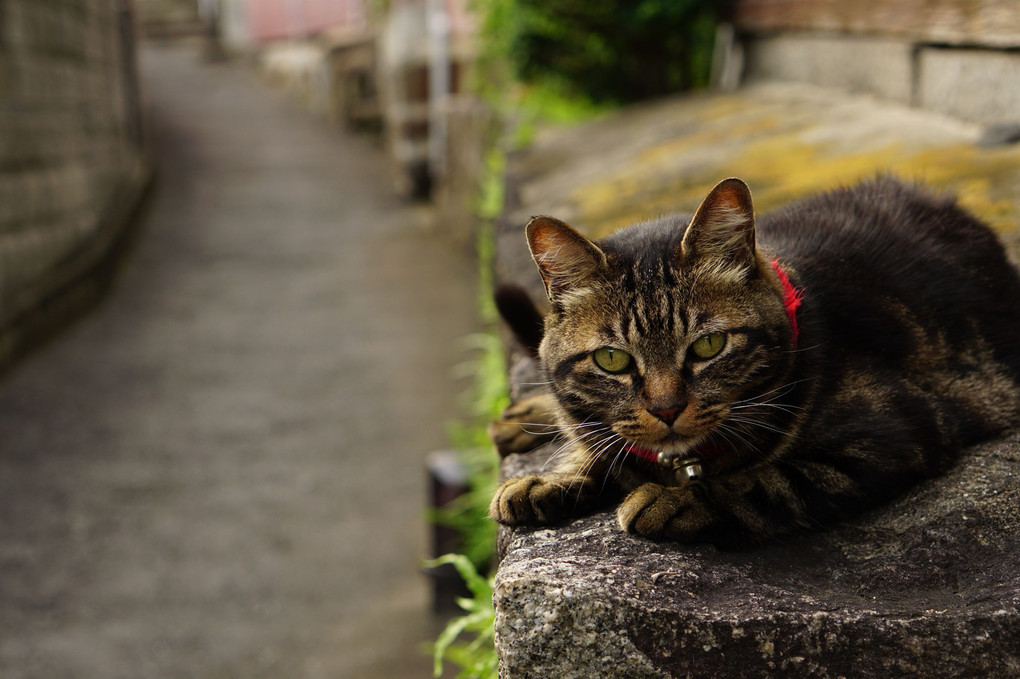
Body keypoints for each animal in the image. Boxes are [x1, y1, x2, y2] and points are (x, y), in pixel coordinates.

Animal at [485, 175, 1020, 546]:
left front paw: (673, 499)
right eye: (612, 359)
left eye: (708, 346)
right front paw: (548, 480)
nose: (666, 409)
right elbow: (602, 450)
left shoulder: (896, 432)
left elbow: (766, 482)